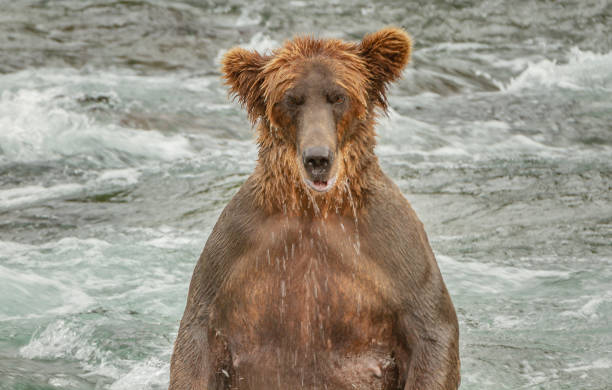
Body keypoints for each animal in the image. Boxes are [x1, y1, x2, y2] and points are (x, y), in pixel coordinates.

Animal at [167, 28, 460, 390]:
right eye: (292, 99)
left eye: (338, 97)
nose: (317, 158)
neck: (313, 207)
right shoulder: (236, 247)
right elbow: (197, 335)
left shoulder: (391, 247)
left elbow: (432, 328)